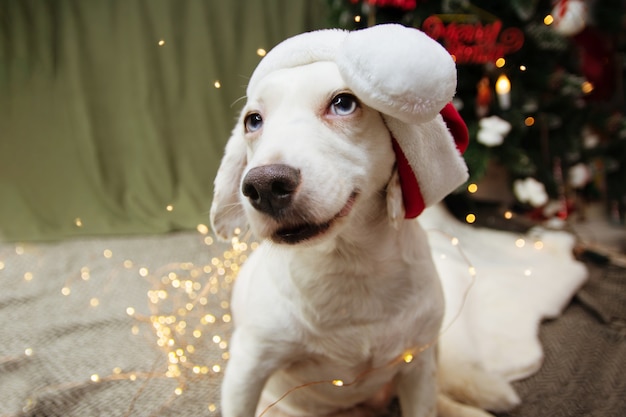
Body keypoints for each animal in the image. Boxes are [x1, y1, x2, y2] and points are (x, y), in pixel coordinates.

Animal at [210, 26, 516, 416]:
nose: (263, 186)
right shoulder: (248, 369)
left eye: (344, 103)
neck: (348, 268)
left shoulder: (417, 365)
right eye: (253, 120)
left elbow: (426, 399)